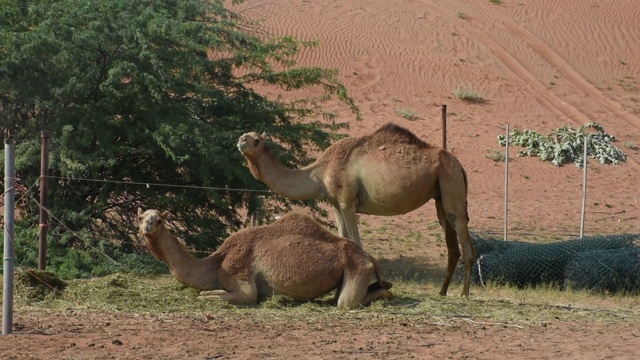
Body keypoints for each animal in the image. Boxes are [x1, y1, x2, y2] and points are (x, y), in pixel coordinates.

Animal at [138, 207, 392, 308]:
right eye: (141, 217)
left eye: (159, 219)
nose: (147, 227)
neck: (217, 263)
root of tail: (367, 255)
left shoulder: (242, 280)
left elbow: (218, 296)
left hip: (358, 268)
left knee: (346, 302)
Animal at [236, 122, 476, 296]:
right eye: (244, 135)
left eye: (256, 140)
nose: (240, 142)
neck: (320, 171)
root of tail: (460, 165)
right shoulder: (335, 204)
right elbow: (343, 238)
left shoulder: (347, 202)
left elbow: (355, 242)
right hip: (440, 193)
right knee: (451, 240)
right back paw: (442, 292)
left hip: (450, 180)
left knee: (463, 233)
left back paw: (464, 294)